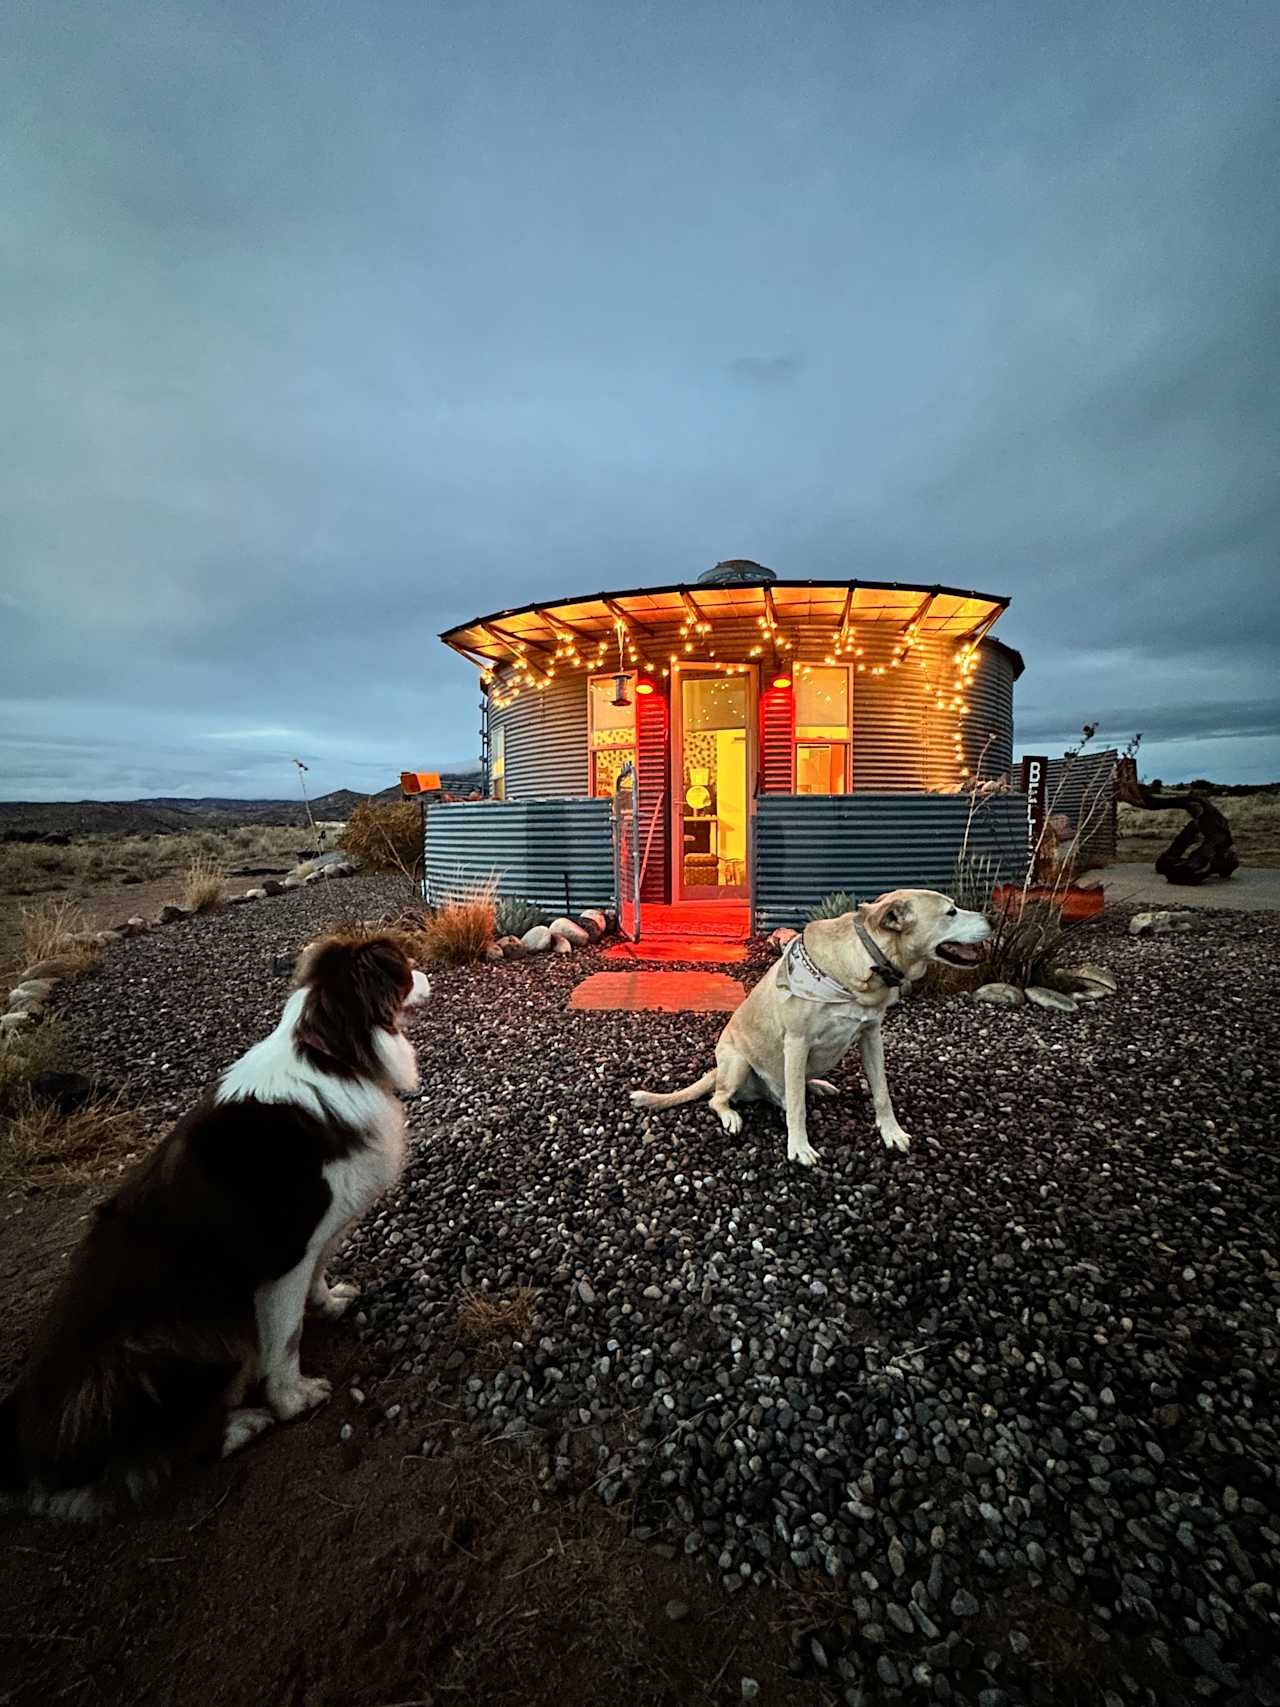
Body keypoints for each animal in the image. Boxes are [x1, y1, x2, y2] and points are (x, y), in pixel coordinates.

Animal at [631, 887, 989, 1167]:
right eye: (951, 912)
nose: (991, 919)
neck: (863, 966)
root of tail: (716, 1071)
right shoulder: (796, 1043)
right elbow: (797, 1108)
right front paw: (799, 1148)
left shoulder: (871, 1036)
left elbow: (882, 1093)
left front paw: (891, 1133)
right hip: (738, 1062)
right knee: (720, 1099)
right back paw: (732, 1114)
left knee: (791, 1088)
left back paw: (816, 1085)